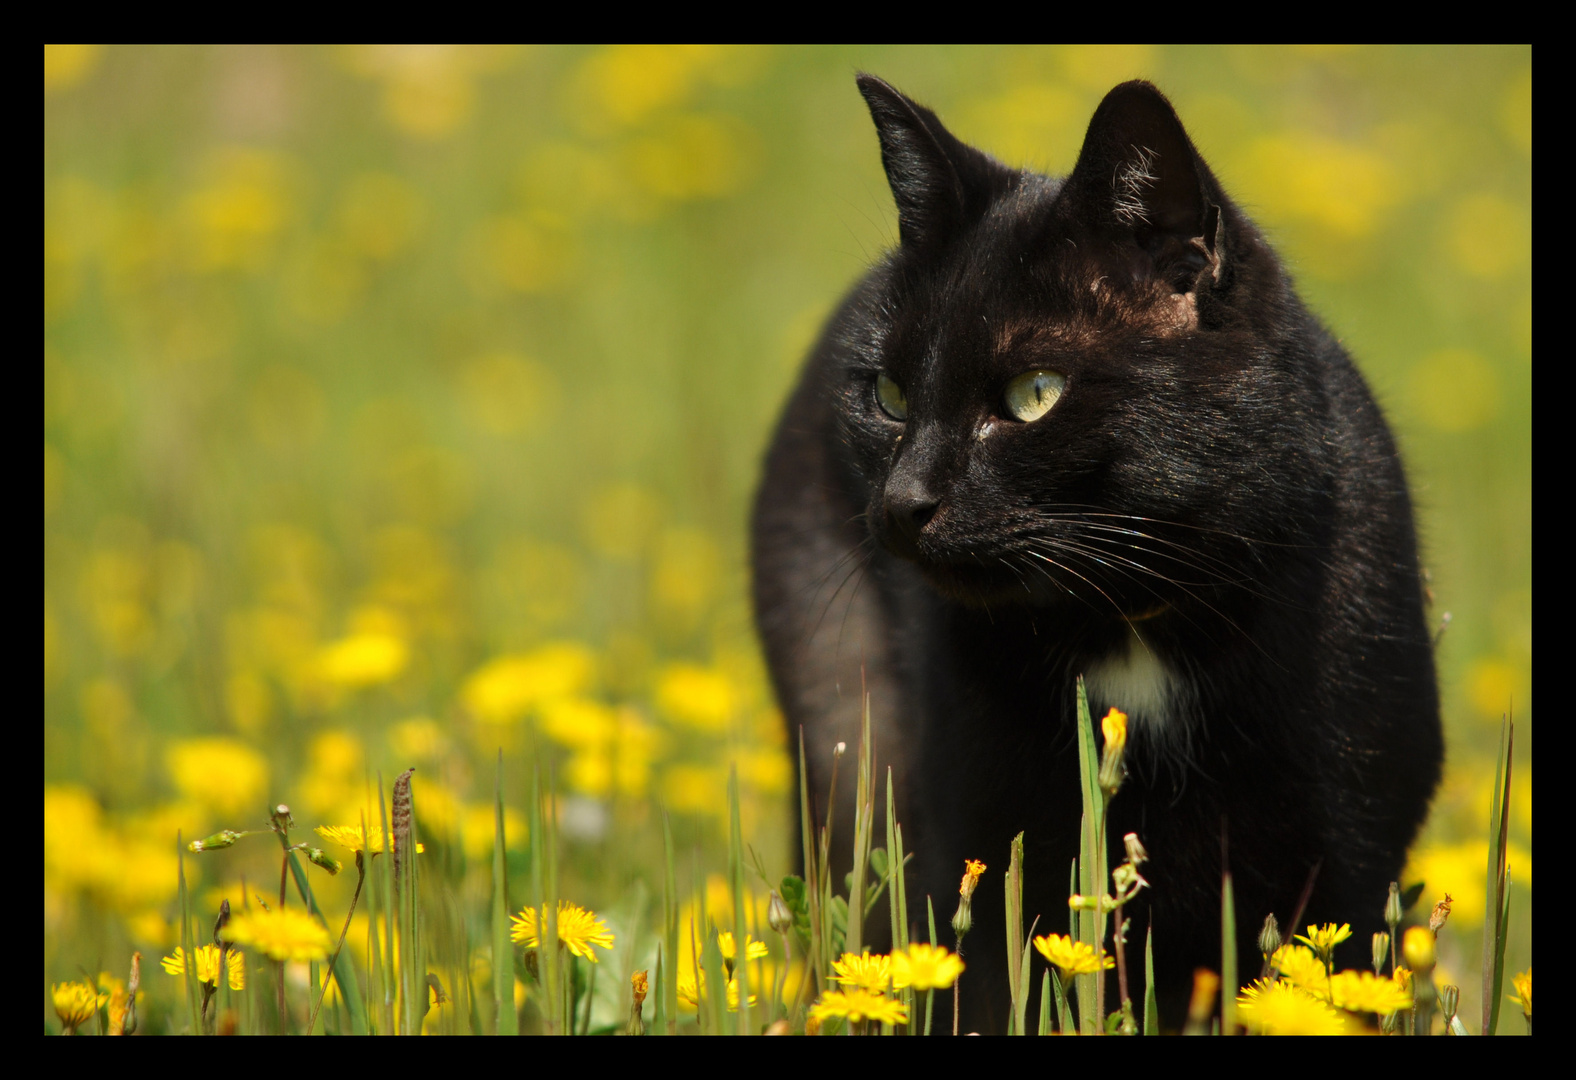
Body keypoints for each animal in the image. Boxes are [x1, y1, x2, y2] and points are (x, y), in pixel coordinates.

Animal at [750, 75, 1443, 1027]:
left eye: (1034, 394)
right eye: (887, 395)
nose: (901, 502)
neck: (1136, 621)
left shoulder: (1347, 859)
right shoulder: (996, 851)